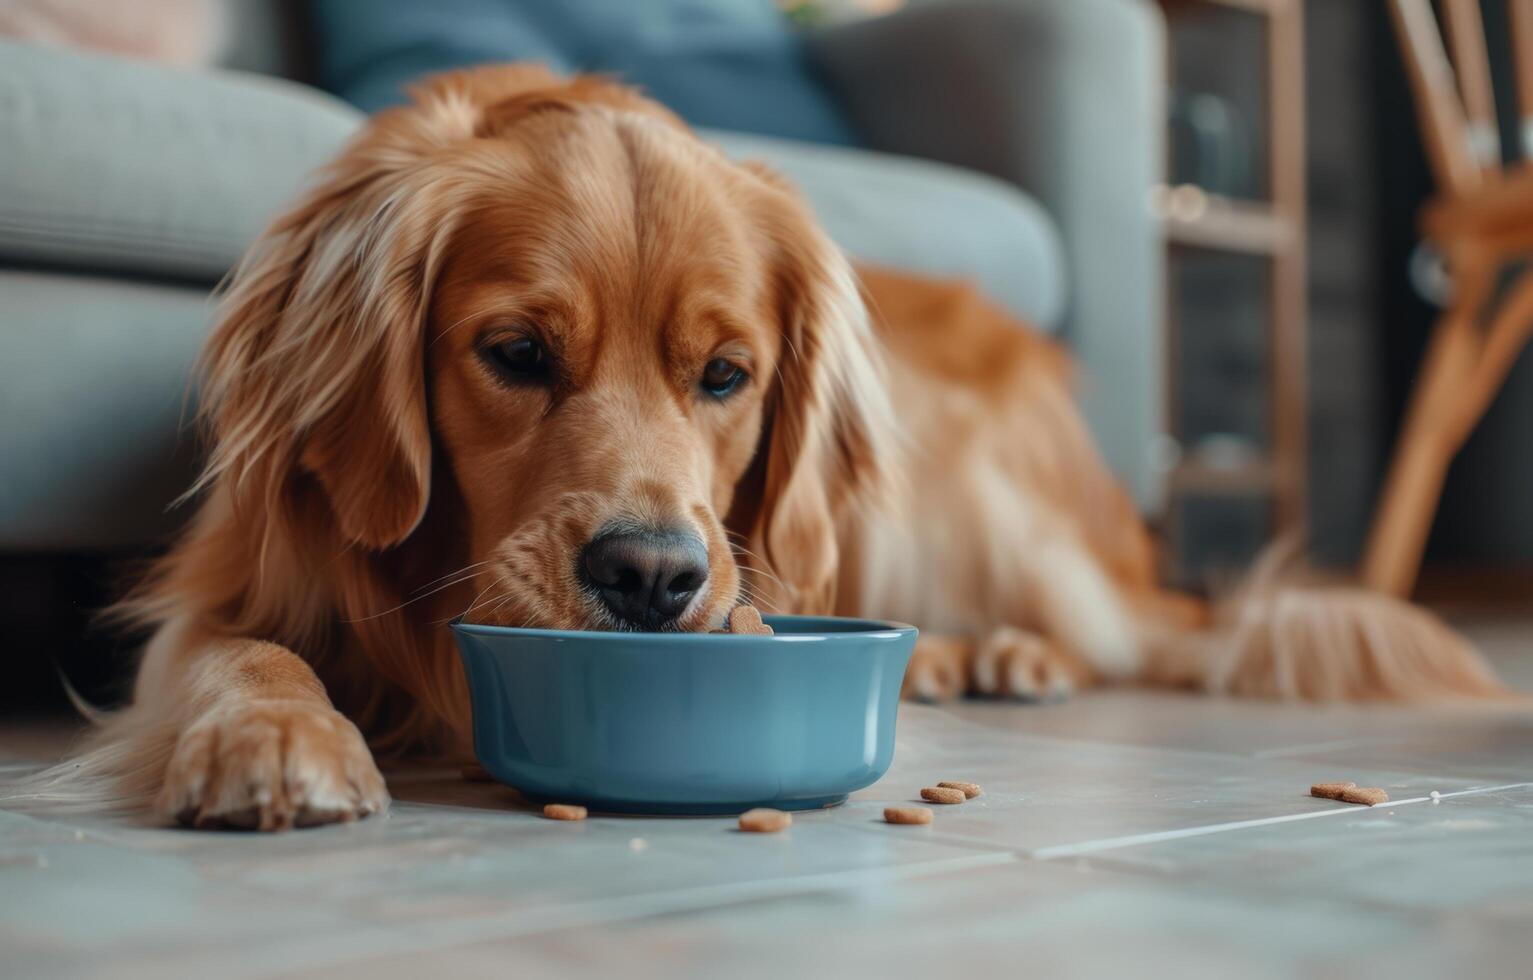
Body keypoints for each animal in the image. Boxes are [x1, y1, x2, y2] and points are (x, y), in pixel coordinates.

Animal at [20, 65, 1508, 834]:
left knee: (1113, 634)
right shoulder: (224, 582)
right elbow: (246, 655)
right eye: (515, 353)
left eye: (726, 375)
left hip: (970, 483)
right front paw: (277, 737)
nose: (650, 577)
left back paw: (1006, 653)